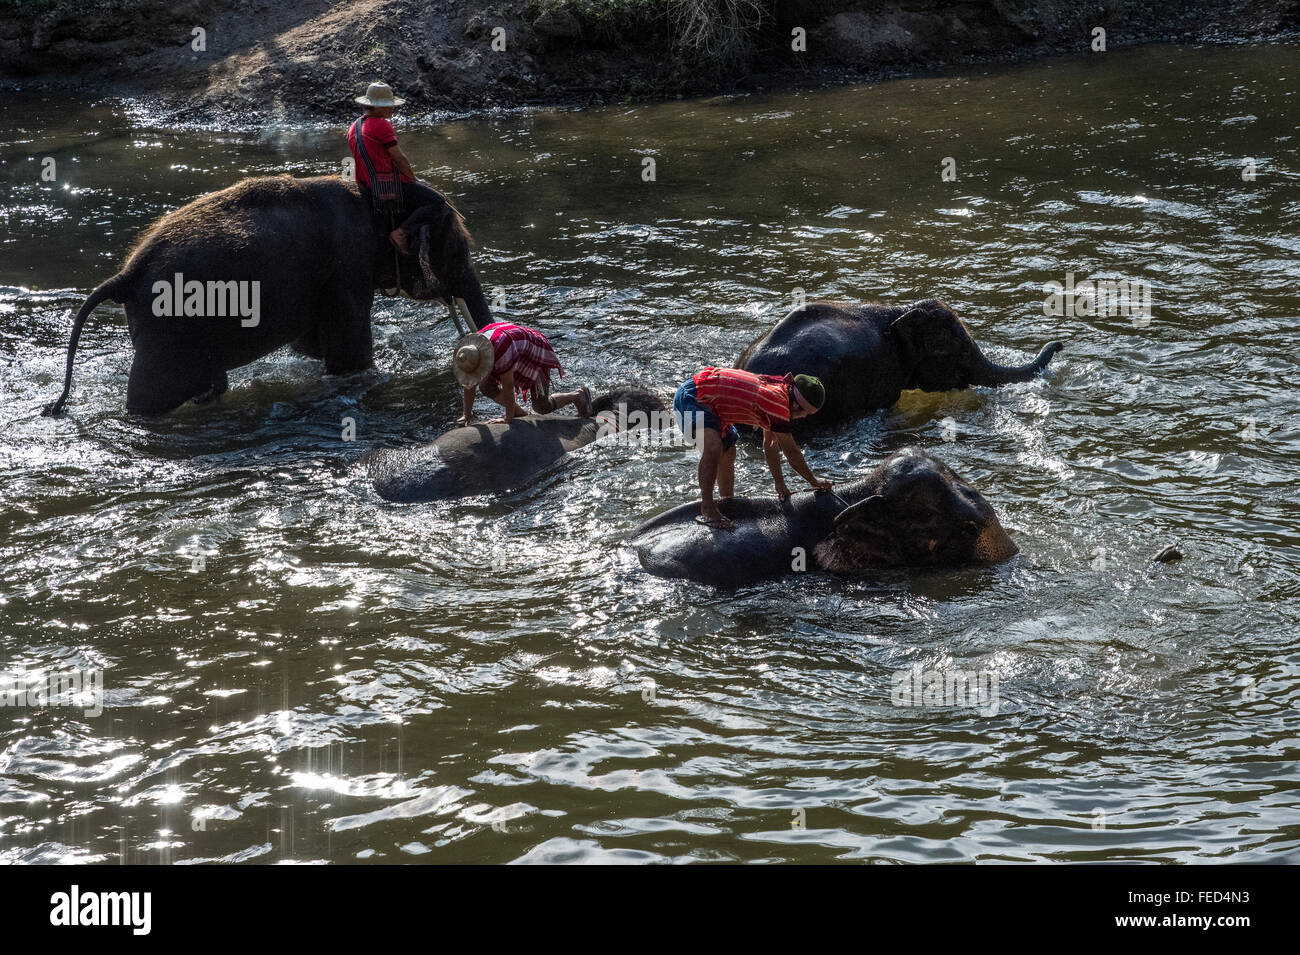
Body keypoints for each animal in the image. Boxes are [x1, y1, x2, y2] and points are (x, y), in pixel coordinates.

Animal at [41, 175, 494, 417]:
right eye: (456, 250)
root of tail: (126, 274)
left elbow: (312, 345)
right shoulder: (348, 265)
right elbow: (348, 351)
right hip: (168, 330)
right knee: (153, 397)